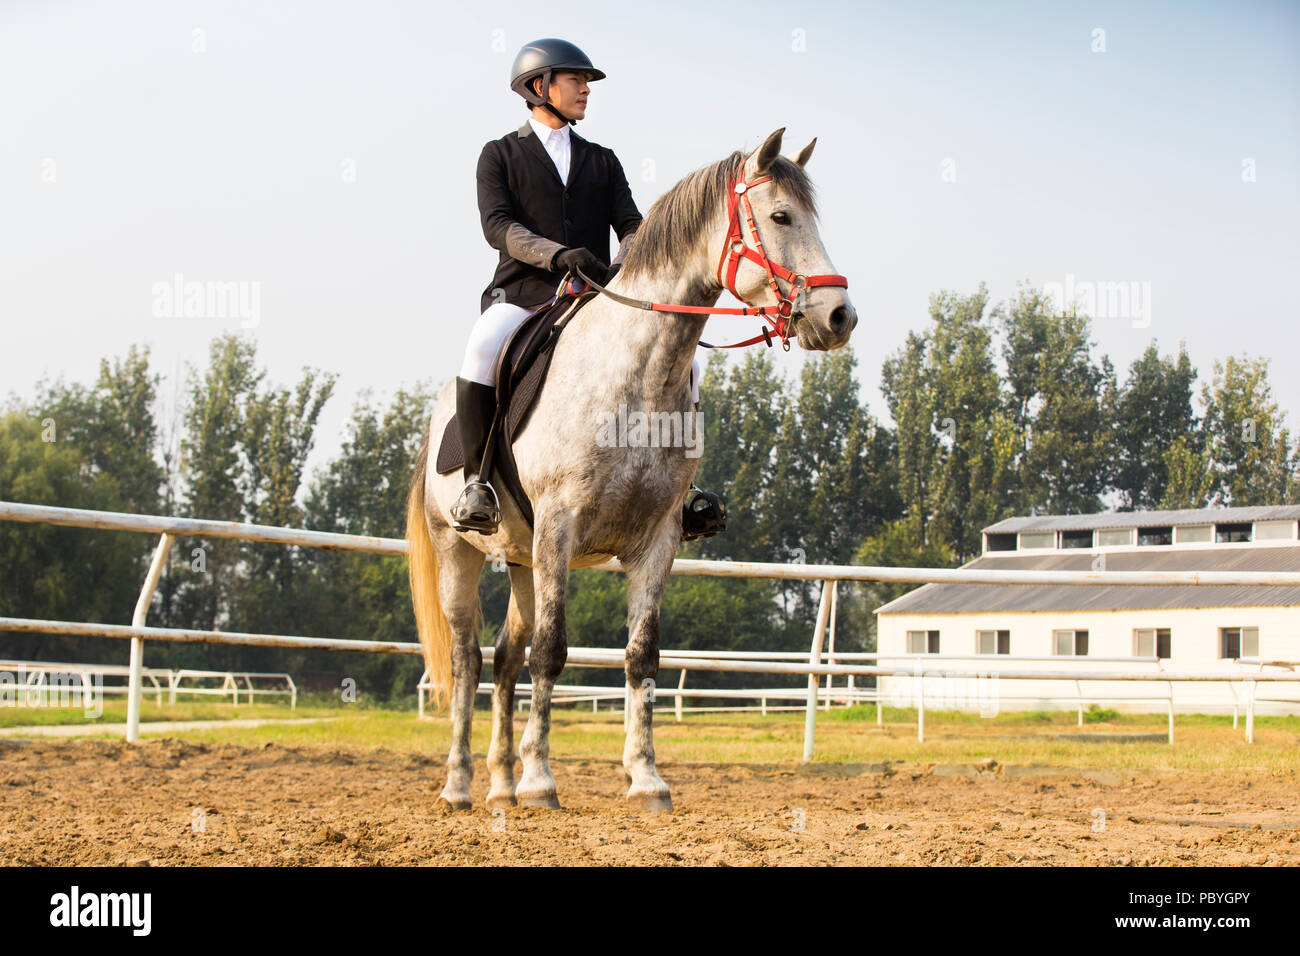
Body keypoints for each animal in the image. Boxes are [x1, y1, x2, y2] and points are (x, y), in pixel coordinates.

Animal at [406, 127, 857, 813]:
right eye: (781, 217)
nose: (839, 317)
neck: (636, 375)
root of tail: (434, 422)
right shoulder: (560, 527)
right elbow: (552, 652)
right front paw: (543, 782)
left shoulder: (657, 540)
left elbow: (641, 656)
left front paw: (646, 780)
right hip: (459, 550)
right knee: (467, 659)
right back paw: (460, 786)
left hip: (521, 558)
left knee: (506, 657)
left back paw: (501, 786)